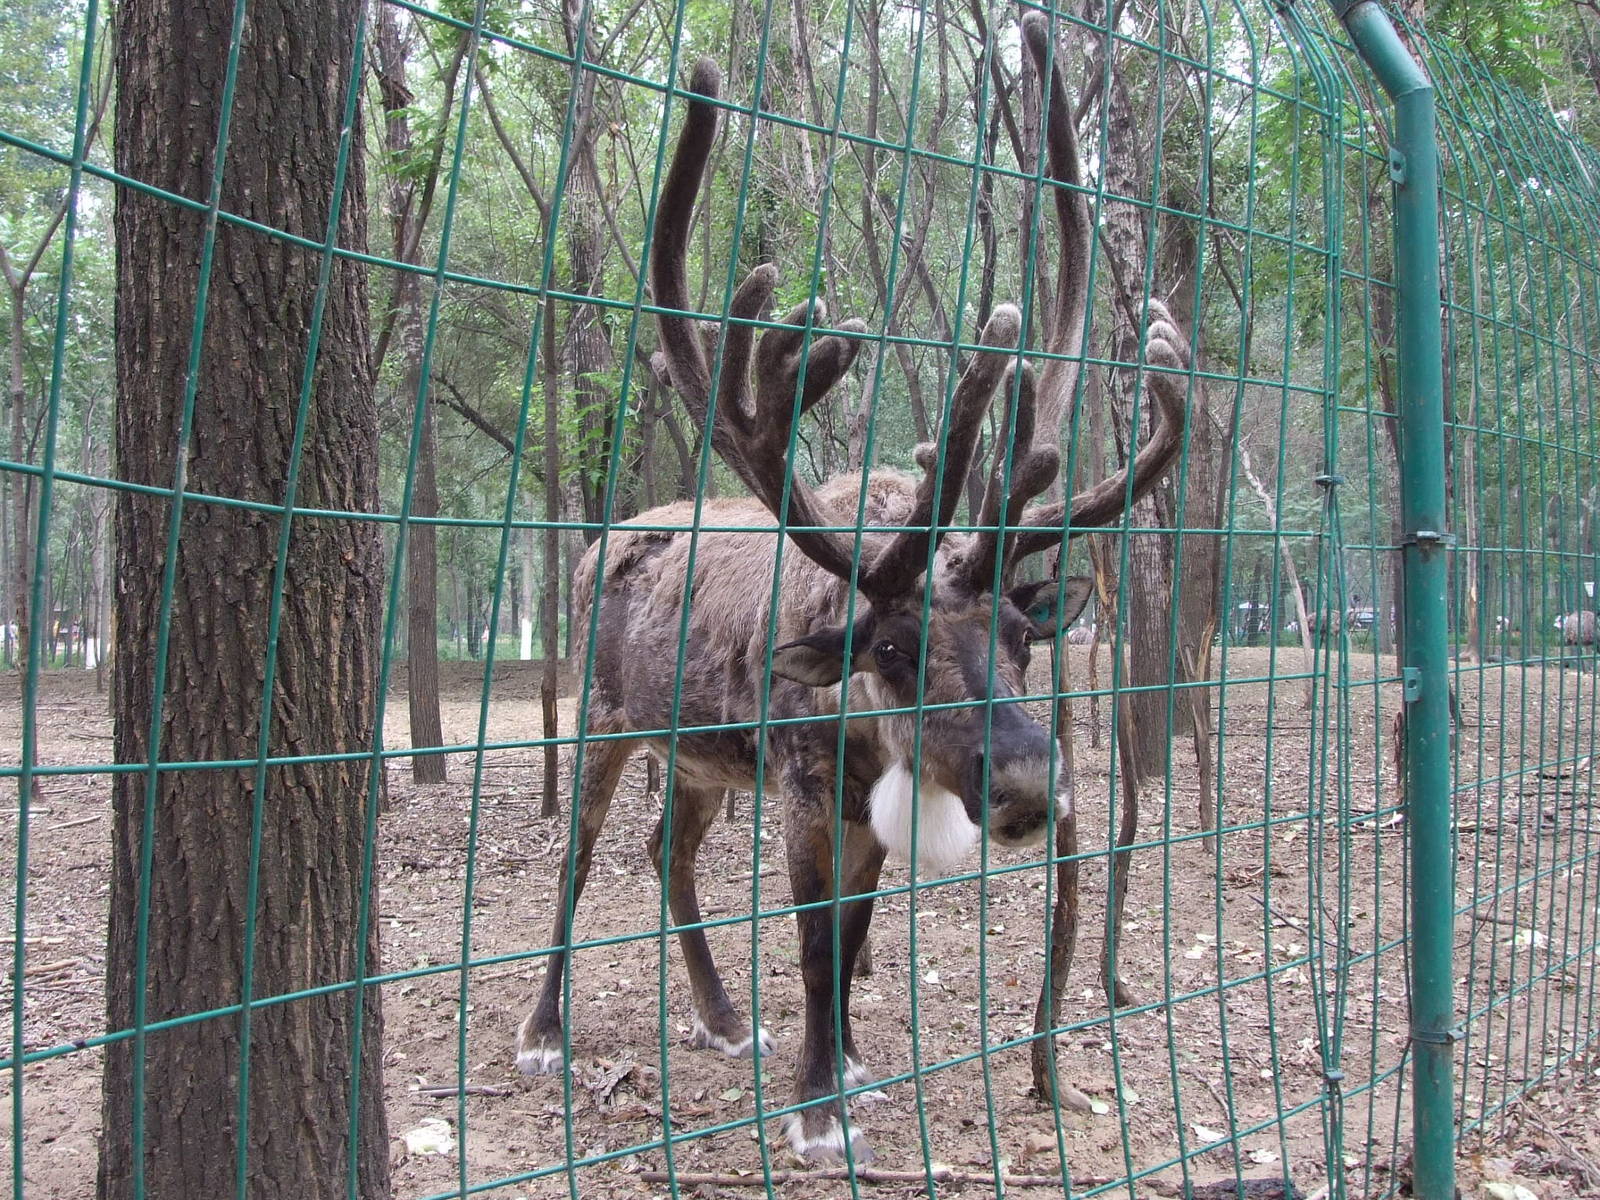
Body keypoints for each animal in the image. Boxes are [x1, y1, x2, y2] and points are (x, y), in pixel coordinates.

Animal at [515, 15, 1191, 1162]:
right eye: (890, 648)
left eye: (1022, 637)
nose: (1027, 785)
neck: (873, 737)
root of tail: (599, 541)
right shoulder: (802, 793)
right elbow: (816, 944)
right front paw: (818, 1112)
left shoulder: (862, 812)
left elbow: (857, 934)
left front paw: (849, 1066)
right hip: (605, 718)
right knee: (580, 856)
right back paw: (544, 1031)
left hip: (699, 756)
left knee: (666, 850)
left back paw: (720, 1016)